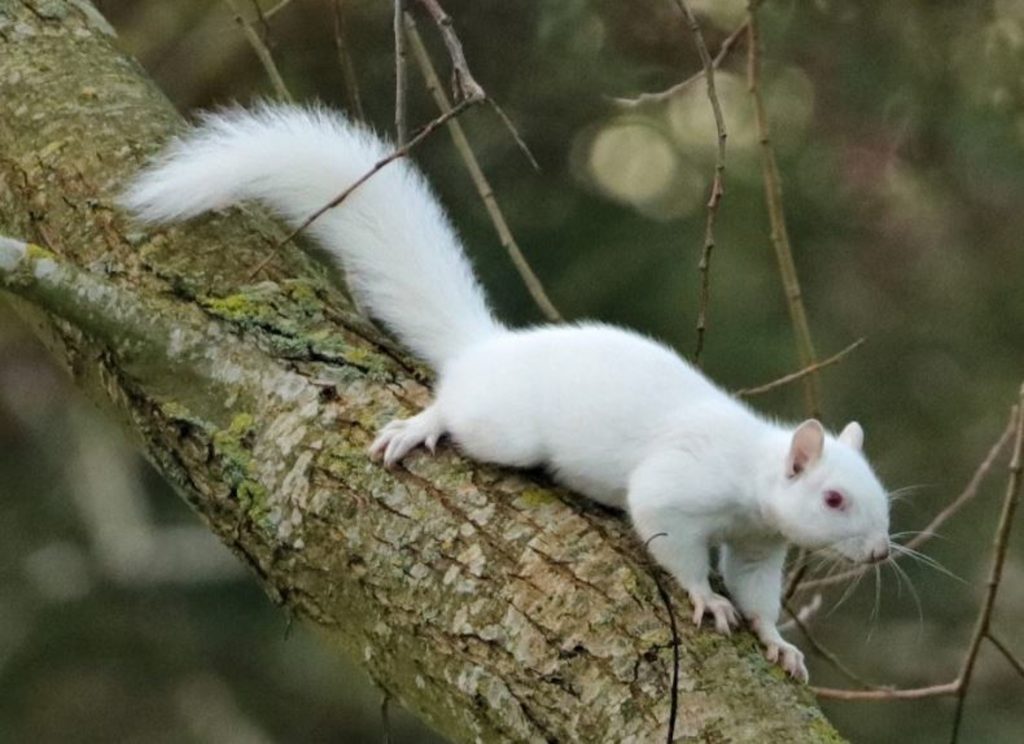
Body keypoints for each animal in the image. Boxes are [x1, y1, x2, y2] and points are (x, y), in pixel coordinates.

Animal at [122, 104, 893, 682]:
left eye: (881, 496)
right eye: (833, 498)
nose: (883, 553)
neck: (752, 470)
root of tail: (484, 349)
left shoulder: (760, 543)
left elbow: (759, 591)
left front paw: (777, 642)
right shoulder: (682, 484)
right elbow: (667, 533)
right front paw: (706, 598)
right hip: (502, 426)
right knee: (458, 410)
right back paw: (421, 426)